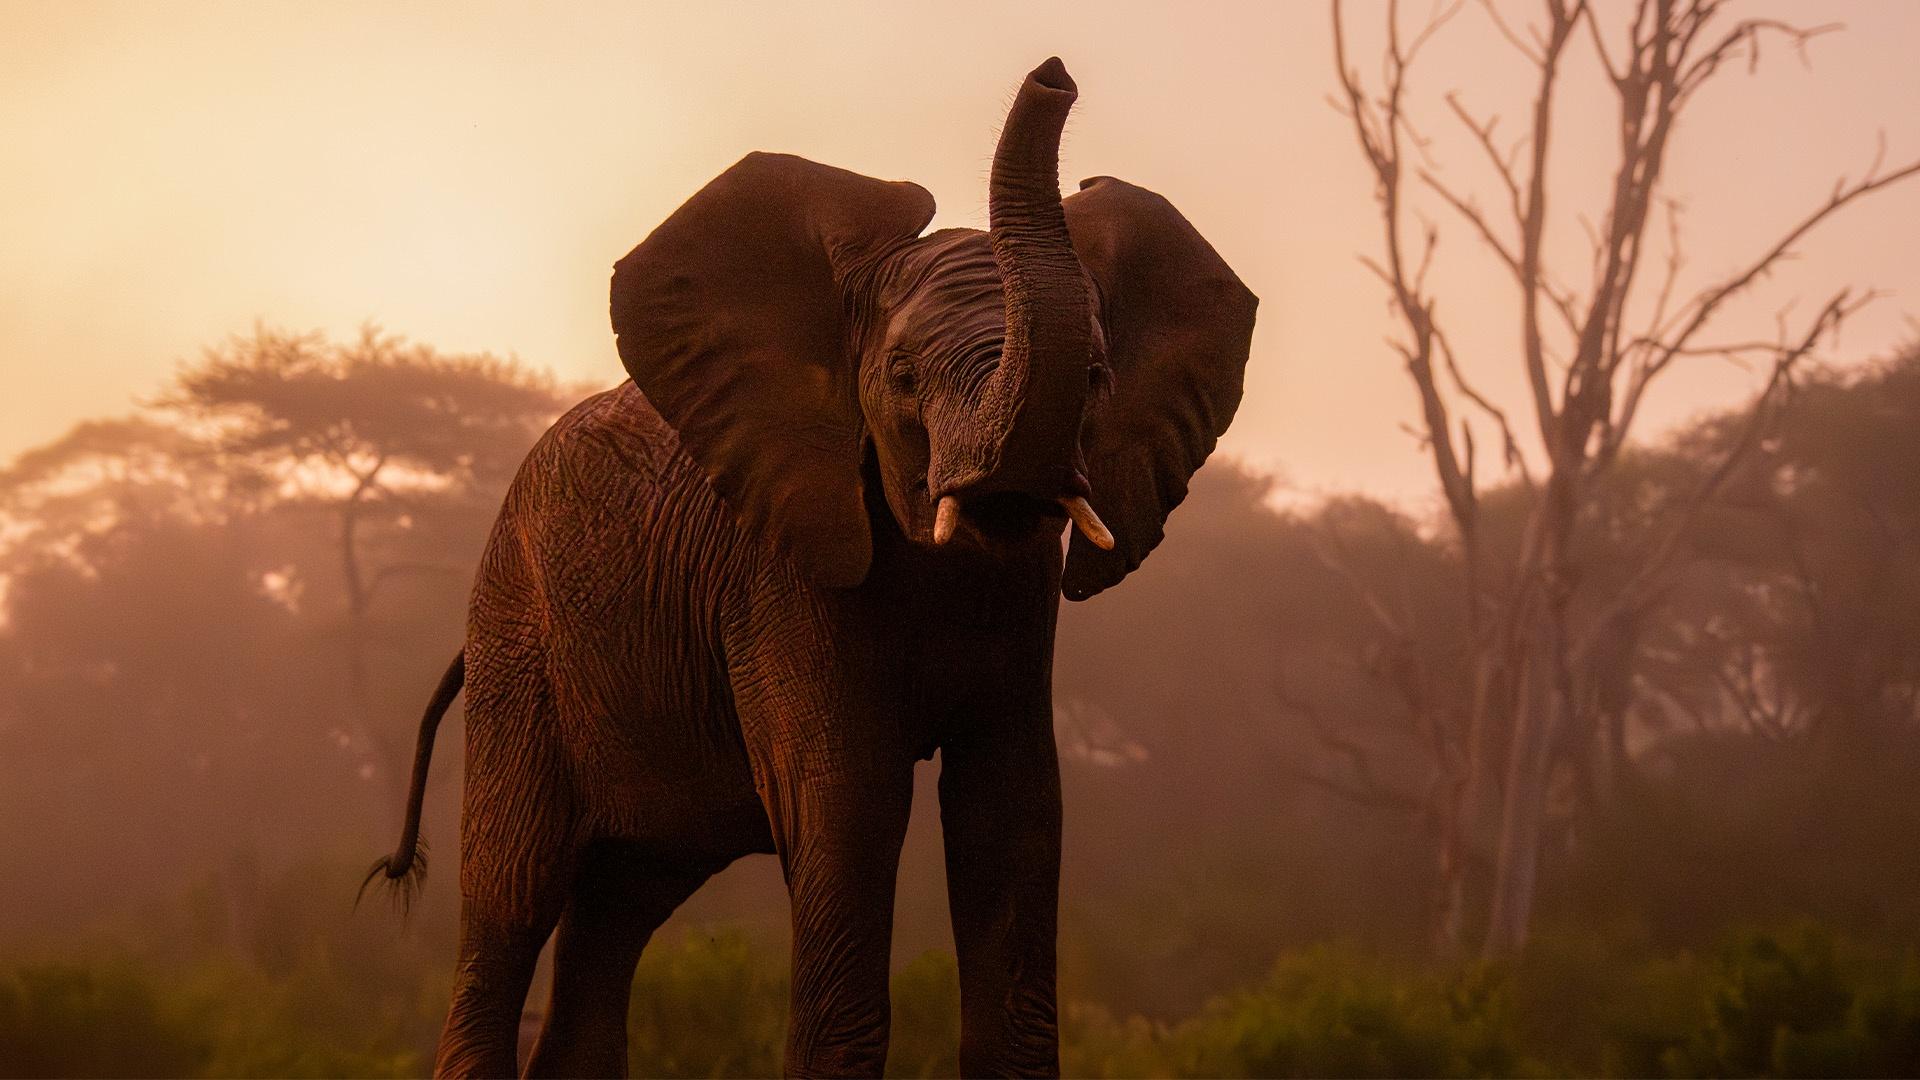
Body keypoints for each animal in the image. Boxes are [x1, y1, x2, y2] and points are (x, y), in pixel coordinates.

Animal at [364, 56, 1256, 1078]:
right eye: (902, 376)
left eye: (1100, 377)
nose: (1054, 72)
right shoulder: (778, 578)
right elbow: (848, 804)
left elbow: (1014, 813)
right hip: (519, 651)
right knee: (511, 896)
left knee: (617, 905)